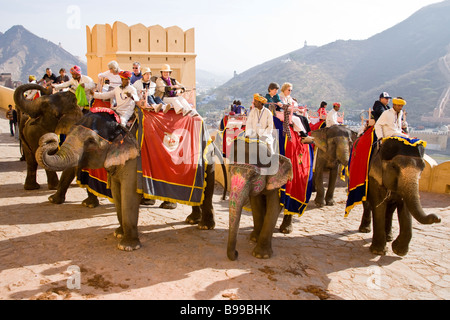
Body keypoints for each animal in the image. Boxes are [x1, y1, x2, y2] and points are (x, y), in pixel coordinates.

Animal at [35, 111, 227, 251]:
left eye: (90, 141)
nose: (52, 139)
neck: (121, 128)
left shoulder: (134, 162)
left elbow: (128, 195)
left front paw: (127, 246)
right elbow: (117, 194)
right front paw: (118, 234)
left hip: (207, 162)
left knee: (207, 191)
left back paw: (205, 226)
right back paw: (192, 220)